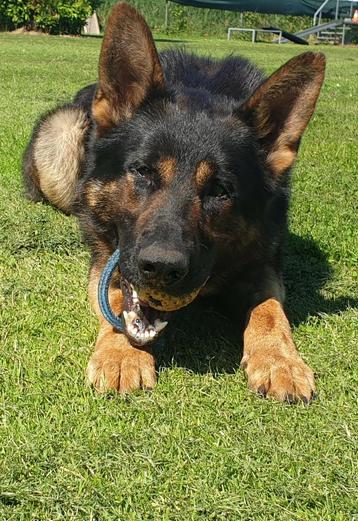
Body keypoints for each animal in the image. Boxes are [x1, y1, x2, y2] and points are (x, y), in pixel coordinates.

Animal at [21, 2, 324, 400]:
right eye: (142, 171)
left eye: (220, 190)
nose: (162, 268)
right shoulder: (108, 259)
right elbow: (115, 298)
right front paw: (122, 353)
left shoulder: (264, 264)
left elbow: (270, 309)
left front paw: (279, 359)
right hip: (62, 139)